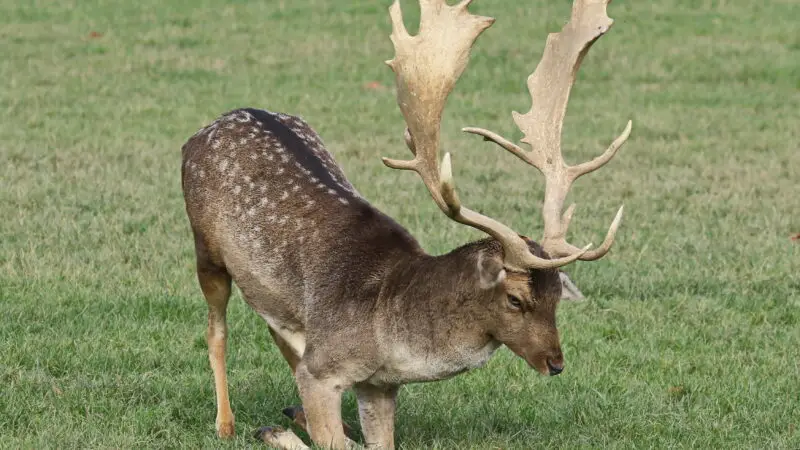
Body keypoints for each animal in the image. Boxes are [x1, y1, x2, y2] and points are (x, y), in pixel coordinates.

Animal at [180, 0, 631, 448]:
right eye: (515, 299)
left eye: (557, 295)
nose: (556, 363)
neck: (387, 332)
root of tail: (214, 123)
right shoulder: (322, 371)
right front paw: (277, 430)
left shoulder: (378, 385)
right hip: (206, 249)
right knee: (216, 329)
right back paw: (228, 424)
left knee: (275, 328)